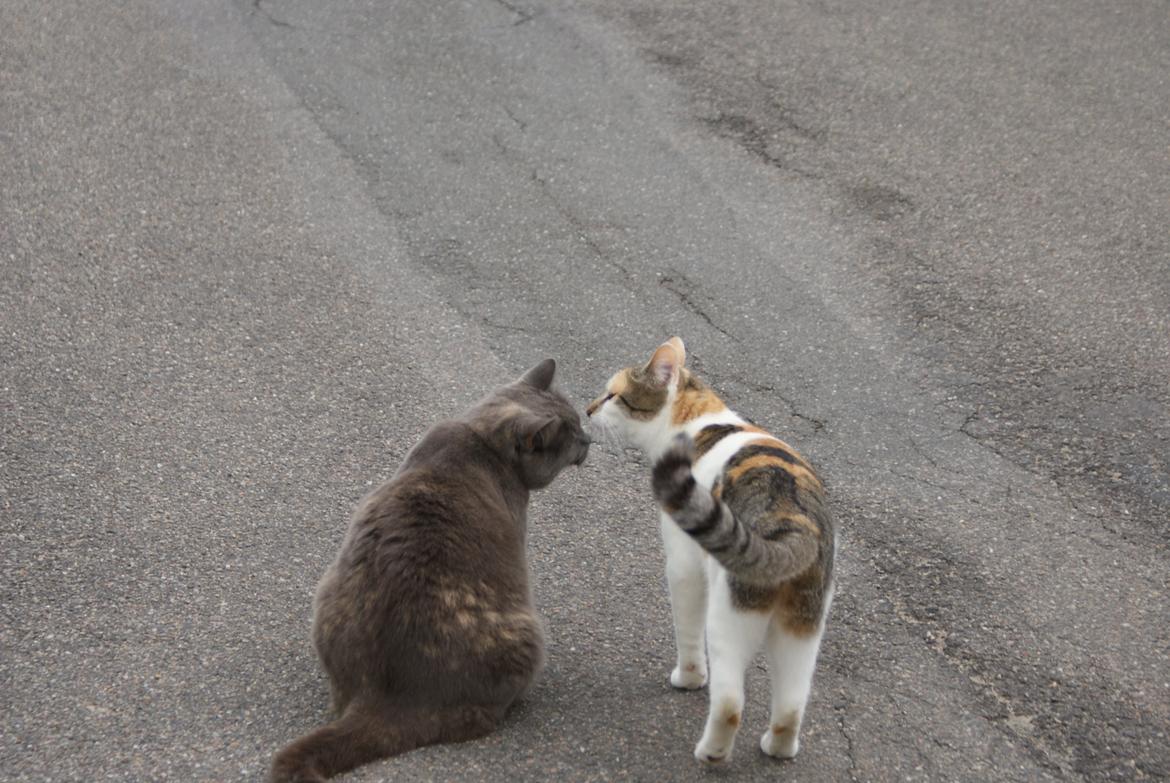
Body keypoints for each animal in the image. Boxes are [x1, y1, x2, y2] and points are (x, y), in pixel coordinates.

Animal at [269, 360, 589, 781]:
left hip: (326, 591)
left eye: (580, 424)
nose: (589, 440)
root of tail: (384, 699)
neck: (481, 438)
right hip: (525, 634)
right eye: (570, 436)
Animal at [589, 337, 837, 763]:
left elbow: (686, 630)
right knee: (791, 704)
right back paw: (778, 748)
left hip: (728, 617)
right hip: (803, 628)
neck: (698, 419)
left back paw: (711, 752)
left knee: (730, 702)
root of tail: (794, 525)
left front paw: (688, 678)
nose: (587, 410)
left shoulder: (684, 564)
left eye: (613, 395)